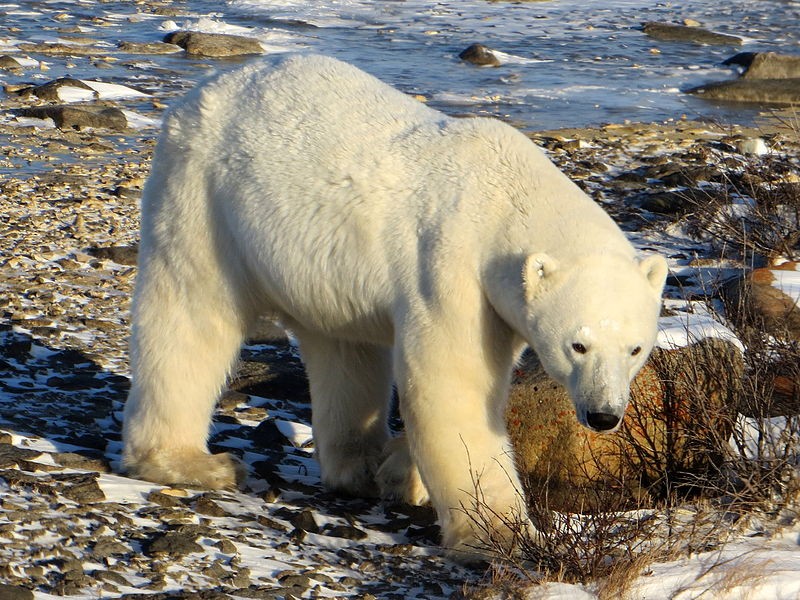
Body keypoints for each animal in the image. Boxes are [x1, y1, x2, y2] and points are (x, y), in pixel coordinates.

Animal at [122, 54, 668, 559]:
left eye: (635, 349)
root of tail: (208, 87)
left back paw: (364, 465)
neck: (504, 195)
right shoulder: (451, 267)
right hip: (205, 195)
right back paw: (194, 462)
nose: (604, 415)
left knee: (347, 351)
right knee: (190, 314)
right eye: (578, 345)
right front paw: (504, 534)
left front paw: (407, 473)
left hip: (327, 266)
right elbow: (453, 387)